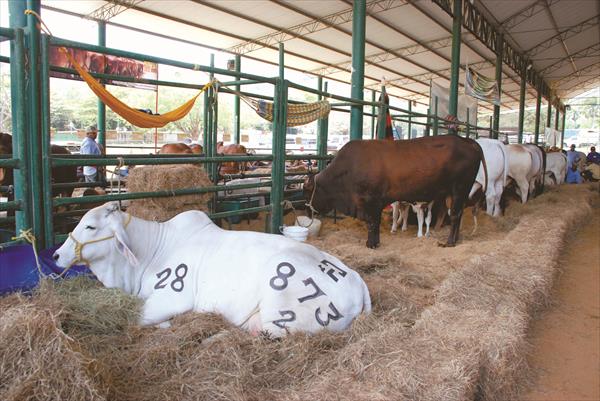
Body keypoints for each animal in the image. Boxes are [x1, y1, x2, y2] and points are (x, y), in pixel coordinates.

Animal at [54, 202, 370, 336]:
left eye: (90, 226)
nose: (57, 255)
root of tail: (357, 281)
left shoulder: (170, 298)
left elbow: (137, 319)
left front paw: (168, 324)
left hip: (280, 314)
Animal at [304, 135, 488, 247]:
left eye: (307, 189)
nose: (308, 211)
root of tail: (467, 140)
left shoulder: (372, 200)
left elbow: (373, 223)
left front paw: (371, 244)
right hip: (458, 192)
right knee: (458, 214)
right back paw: (455, 239)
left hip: (459, 188)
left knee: (455, 215)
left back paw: (449, 242)